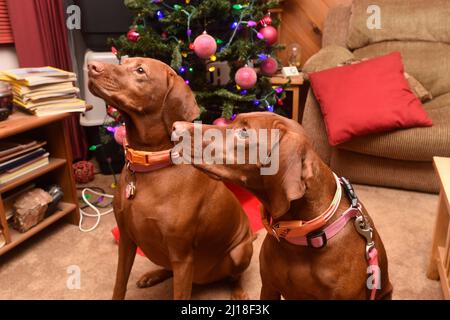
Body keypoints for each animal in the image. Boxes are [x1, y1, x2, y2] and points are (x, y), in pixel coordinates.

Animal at [88, 58, 253, 300]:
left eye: (140, 70)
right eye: (123, 60)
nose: (91, 66)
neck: (149, 164)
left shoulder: (182, 257)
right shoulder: (126, 241)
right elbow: (119, 285)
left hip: (240, 251)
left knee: (235, 277)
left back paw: (239, 292)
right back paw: (153, 275)